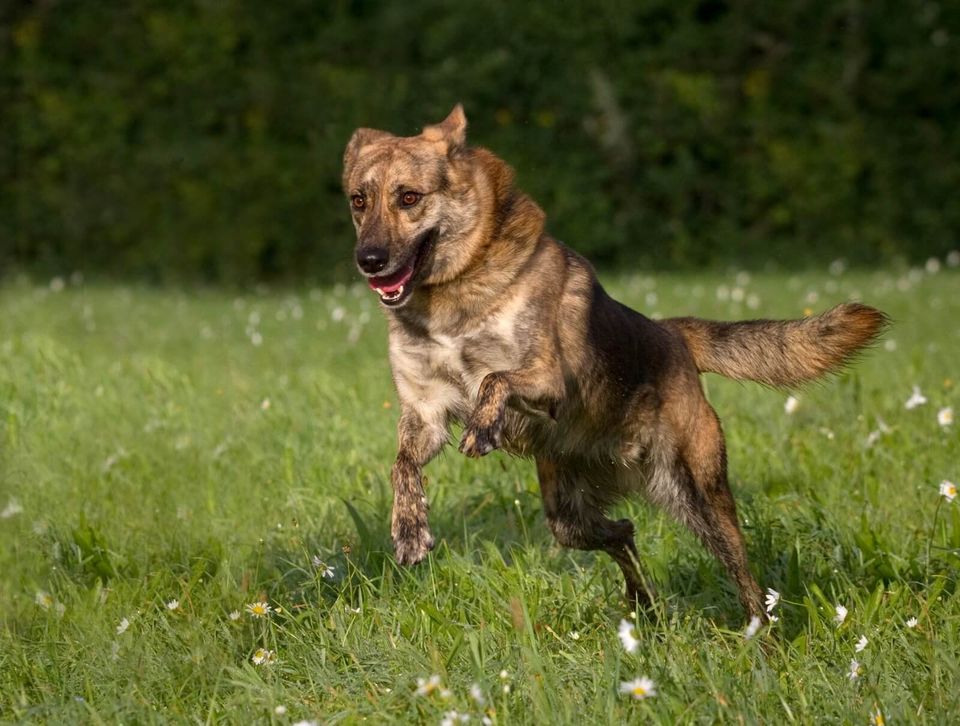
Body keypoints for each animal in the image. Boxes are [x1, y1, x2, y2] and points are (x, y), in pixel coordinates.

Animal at [340, 106, 884, 620]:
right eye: (358, 201)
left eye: (409, 198)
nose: (368, 260)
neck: (452, 296)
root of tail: (672, 334)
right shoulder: (426, 415)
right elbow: (402, 465)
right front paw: (409, 528)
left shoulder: (547, 382)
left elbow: (494, 379)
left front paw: (481, 428)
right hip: (568, 517)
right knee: (623, 529)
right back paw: (643, 602)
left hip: (698, 494)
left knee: (744, 581)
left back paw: (759, 637)